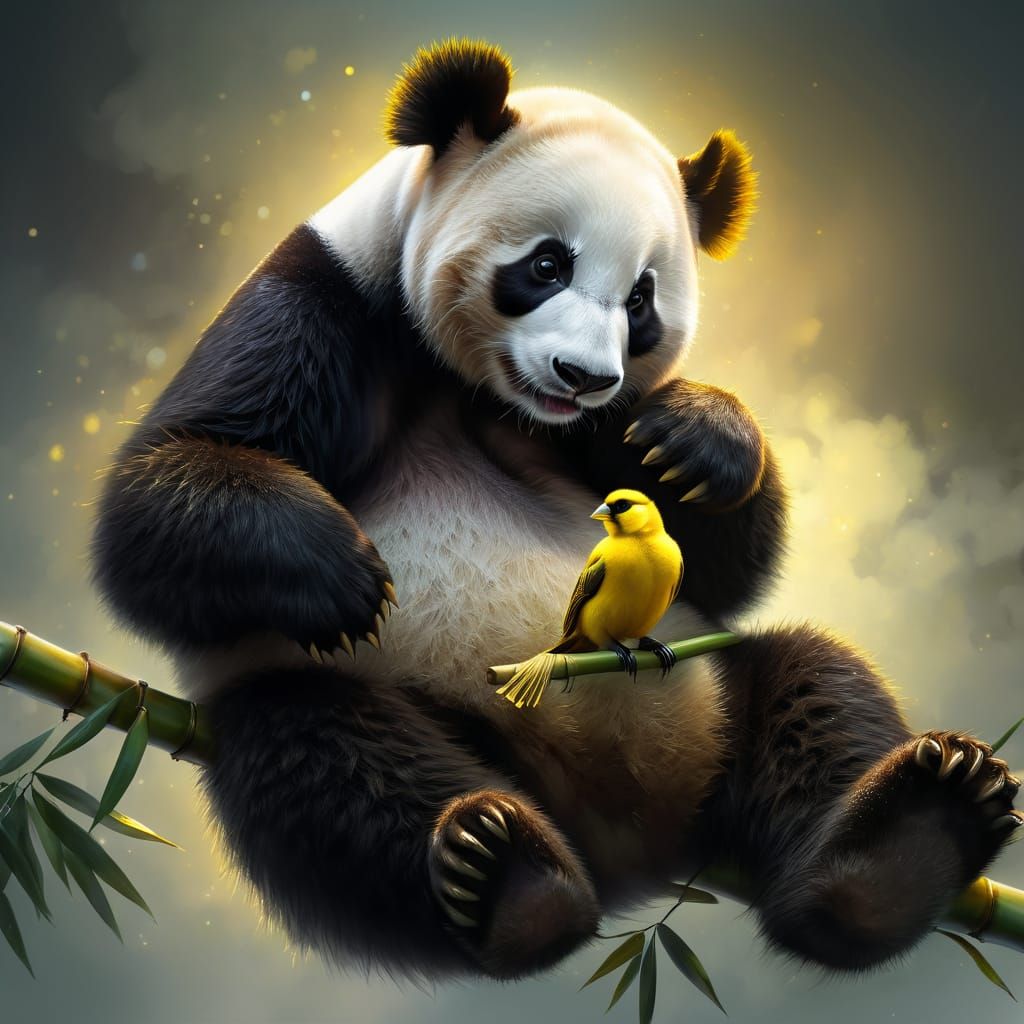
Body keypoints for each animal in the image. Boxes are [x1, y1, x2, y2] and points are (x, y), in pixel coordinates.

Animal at [91, 39, 1021, 981]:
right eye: (547, 264)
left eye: (642, 298)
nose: (582, 376)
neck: (491, 394)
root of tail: (639, 852)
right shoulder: (329, 297)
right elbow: (160, 490)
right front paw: (343, 577)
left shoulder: (608, 430)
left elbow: (722, 565)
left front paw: (698, 441)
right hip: (386, 708)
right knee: (329, 765)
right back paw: (505, 875)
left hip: (714, 688)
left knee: (819, 686)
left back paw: (910, 835)